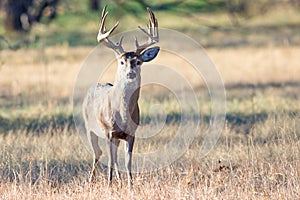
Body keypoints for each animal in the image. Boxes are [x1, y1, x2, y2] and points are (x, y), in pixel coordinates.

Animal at [82, 5, 159, 188]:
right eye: (122, 62)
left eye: (138, 61)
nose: (130, 73)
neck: (123, 115)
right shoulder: (109, 131)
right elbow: (110, 160)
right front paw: (109, 186)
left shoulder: (131, 133)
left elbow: (127, 161)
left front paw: (130, 185)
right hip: (90, 127)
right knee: (98, 153)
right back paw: (91, 181)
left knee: (114, 157)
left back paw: (118, 180)